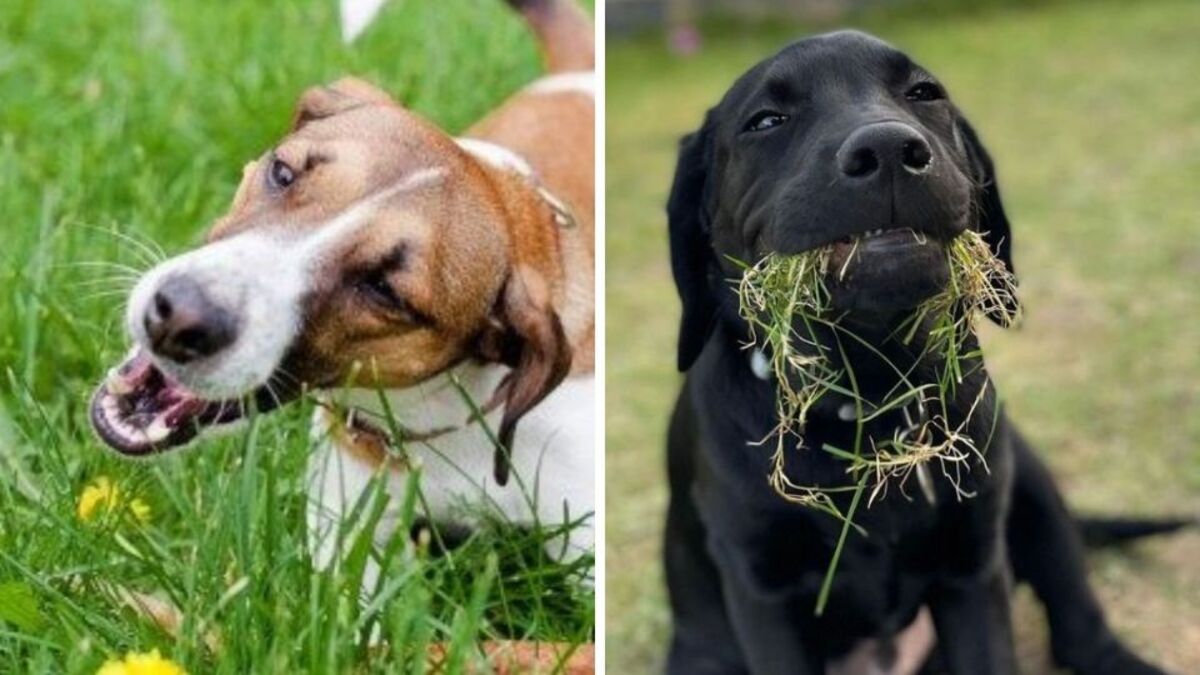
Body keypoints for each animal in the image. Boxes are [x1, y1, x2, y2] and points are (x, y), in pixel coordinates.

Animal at [667, 28, 1190, 672]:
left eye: (923, 93)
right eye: (766, 120)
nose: (889, 148)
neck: (869, 400)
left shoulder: (972, 571)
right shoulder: (763, 592)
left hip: (1027, 478)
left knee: (1078, 627)